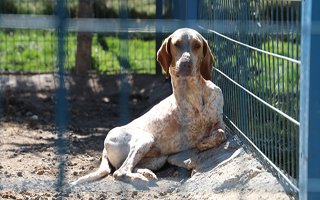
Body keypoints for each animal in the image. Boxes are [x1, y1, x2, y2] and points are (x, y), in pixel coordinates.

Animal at [70, 28, 225, 186]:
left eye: (197, 45)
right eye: (176, 44)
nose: (186, 64)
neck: (193, 93)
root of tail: (104, 147)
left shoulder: (219, 121)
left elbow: (221, 133)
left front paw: (206, 142)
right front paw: (204, 142)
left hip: (157, 159)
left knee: (128, 167)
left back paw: (146, 173)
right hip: (145, 139)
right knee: (120, 171)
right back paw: (141, 179)